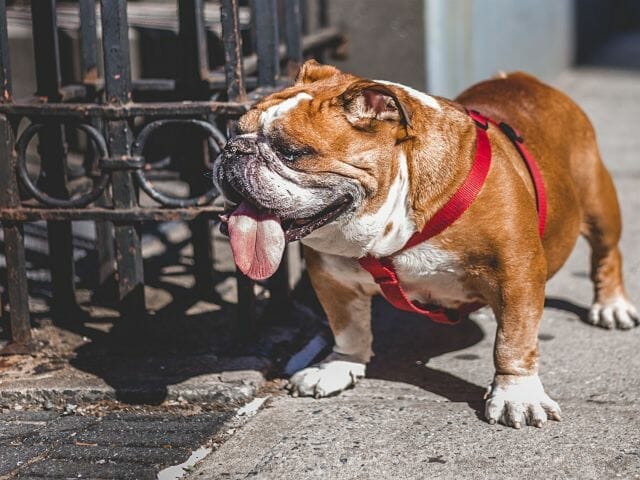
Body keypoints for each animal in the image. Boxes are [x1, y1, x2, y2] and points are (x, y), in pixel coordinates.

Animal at [212, 59, 636, 428]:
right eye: (234, 132)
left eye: (292, 152)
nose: (232, 151)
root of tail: (524, 79)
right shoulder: (332, 277)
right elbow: (347, 327)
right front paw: (338, 365)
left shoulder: (517, 274)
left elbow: (513, 340)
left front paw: (516, 395)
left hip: (597, 200)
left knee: (607, 253)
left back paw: (612, 306)